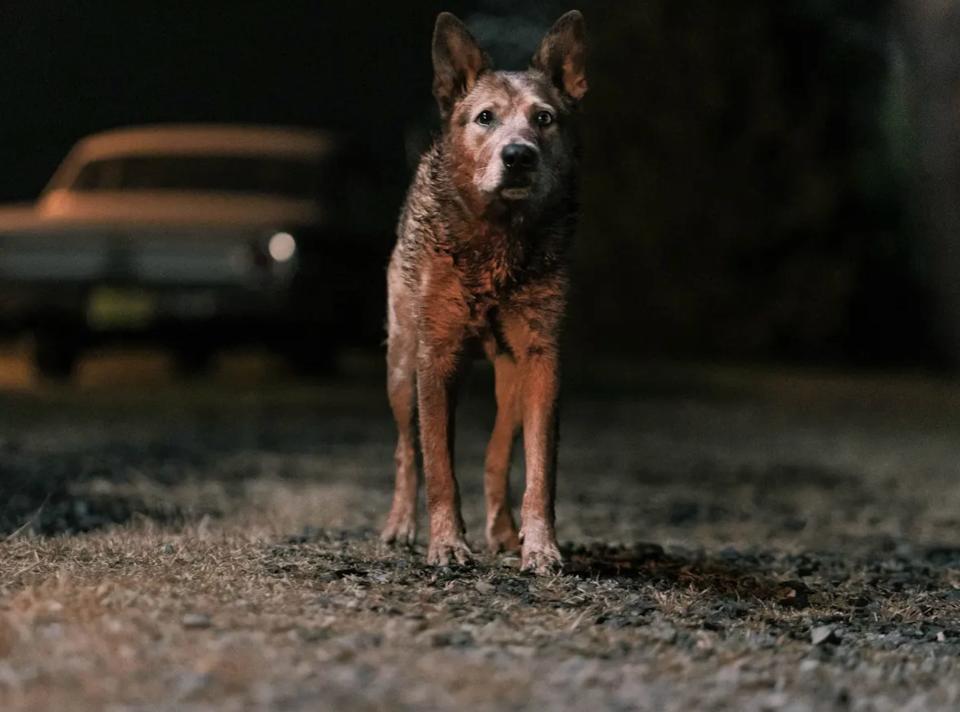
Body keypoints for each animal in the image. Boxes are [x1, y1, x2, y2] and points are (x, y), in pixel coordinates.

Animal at [380, 9, 588, 572]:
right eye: (485, 118)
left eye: (544, 118)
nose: (518, 156)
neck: (498, 240)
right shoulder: (436, 357)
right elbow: (438, 467)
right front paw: (447, 543)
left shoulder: (542, 359)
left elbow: (540, 472)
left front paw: (540, 546)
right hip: (401, 369)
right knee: (407, 453)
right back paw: (399, 525)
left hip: (510, 380)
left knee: (498, 455)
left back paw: (503, 530)